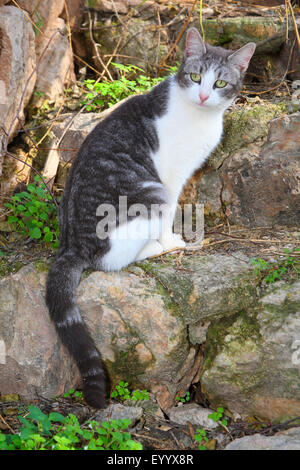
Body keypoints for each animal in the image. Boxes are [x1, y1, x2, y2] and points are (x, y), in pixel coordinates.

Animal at [46, 27, 255, 408]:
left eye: (220, 83)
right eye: (195, 77)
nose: (204, 95)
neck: (198, 116)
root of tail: (69, 246)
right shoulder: (171, 178)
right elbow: (171, 212)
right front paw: (171, 239)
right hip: (149, 194)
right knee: (113, 260)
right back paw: (158, 248)